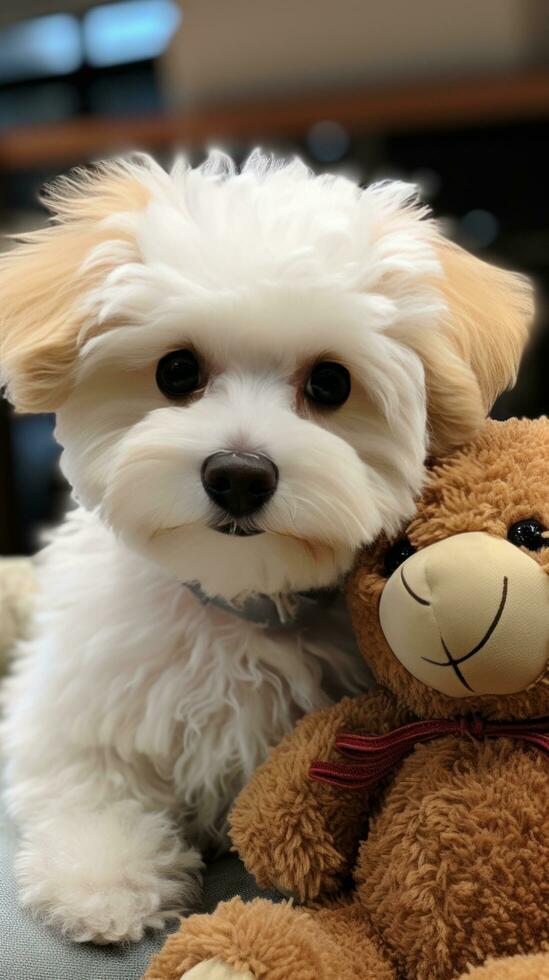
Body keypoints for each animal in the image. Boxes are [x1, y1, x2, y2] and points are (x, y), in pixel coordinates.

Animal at [0, 151, 532, 940]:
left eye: (330, 383)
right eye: (177, 371)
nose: (239, 475)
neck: (238, 598)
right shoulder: (69, 702)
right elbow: (84, 776)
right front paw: (104, 878)